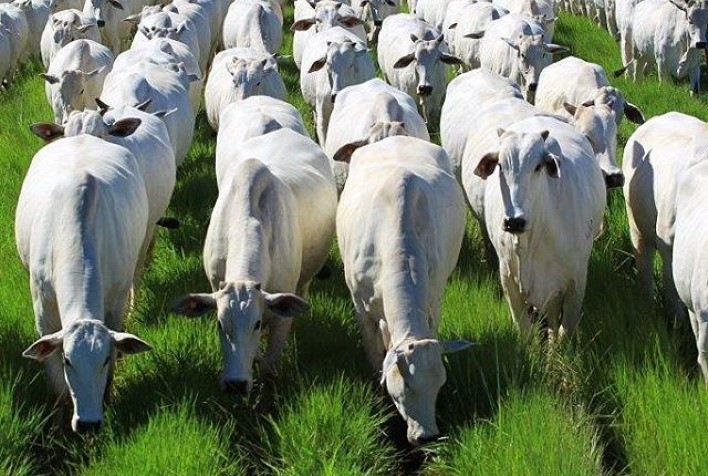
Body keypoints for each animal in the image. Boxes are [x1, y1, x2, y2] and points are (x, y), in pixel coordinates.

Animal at [16, 134, 152, 433]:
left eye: (103, 359)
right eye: (68, 360)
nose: (88, 423)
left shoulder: (116, 304)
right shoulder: (43, 311)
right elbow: (56, 383)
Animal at [171, 128, 337, 394]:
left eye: (256, 324)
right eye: (220, 324)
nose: (235, 384)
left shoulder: (281, 313)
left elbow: (269, 365)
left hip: (305, 279)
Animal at [335, 135, 473, 446]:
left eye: (441, 383)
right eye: (405, 386)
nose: (427, 436)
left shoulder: (434, 300)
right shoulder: (361, 308)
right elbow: (376, 358)